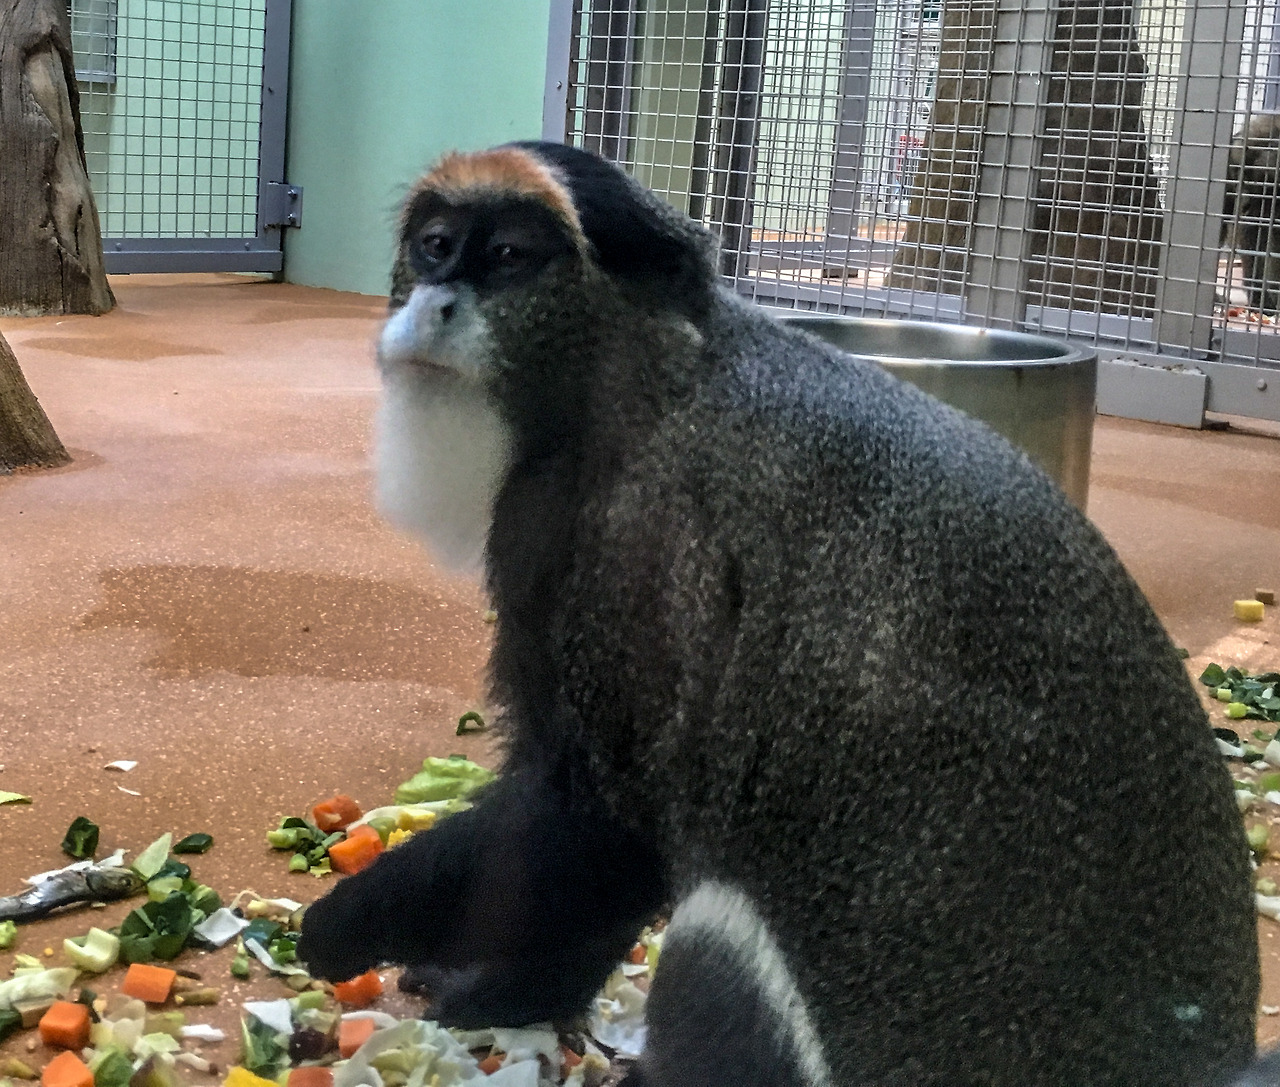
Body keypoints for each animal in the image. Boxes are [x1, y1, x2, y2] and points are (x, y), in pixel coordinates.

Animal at [297, 141, 1264, 1086]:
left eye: (506, 257)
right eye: (435, 247)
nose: (435, 302)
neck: (654, 374)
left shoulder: (626, 543)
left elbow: (601, 821)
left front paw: (349, 923)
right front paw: (501, 993)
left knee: (720, 942)